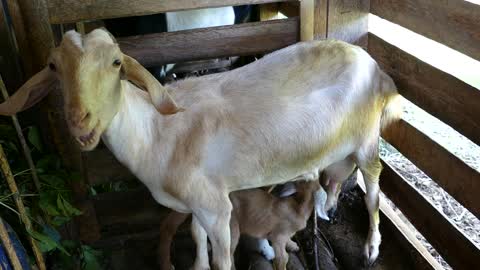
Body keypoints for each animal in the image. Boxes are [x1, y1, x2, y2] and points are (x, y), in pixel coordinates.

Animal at [0, 28, 402, 268]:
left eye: (116, 63)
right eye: (53, 66)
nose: (80, 121)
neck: (156, 132)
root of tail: (379, 70)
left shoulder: (217, 207)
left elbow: (222, 255)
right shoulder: (199, 198)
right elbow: (195, 236)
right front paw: (198, 264)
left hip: (367, 141)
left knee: (372, 192)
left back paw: (371, 247)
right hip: (337, 150)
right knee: (333, 179)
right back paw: (325, 208)